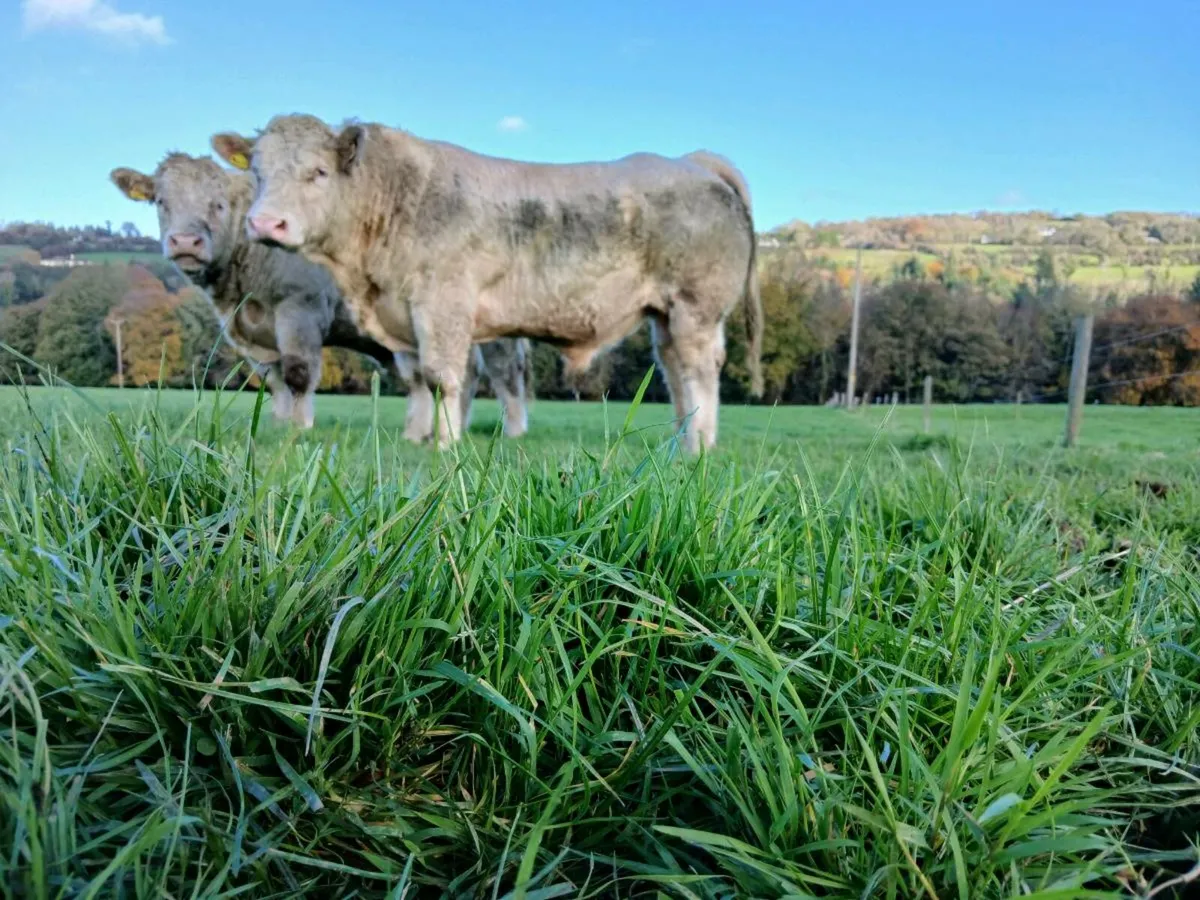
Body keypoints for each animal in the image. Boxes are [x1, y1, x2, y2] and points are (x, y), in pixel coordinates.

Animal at [109, 151, 530, 438]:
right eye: (161, 201)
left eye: (219, 204)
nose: (185, 242)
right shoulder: (253, 333)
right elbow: (275, 380)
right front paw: (277, 425)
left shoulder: (300, 308)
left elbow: (297, 374)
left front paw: (300, 430)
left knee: (502, 375)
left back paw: (510, 432)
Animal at [210, 113, 763, 452]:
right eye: (257, 172)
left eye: (319, 172)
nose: (265, 224)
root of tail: (693, 162)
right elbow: (423, 378)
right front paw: (424, 438)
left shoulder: (443, 305)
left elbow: (442, 378)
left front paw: (446, 444)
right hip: (666, 317)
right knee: (674, 372)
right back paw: (681, 440)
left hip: (695, 307)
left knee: (698, 373)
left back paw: (697, 446)